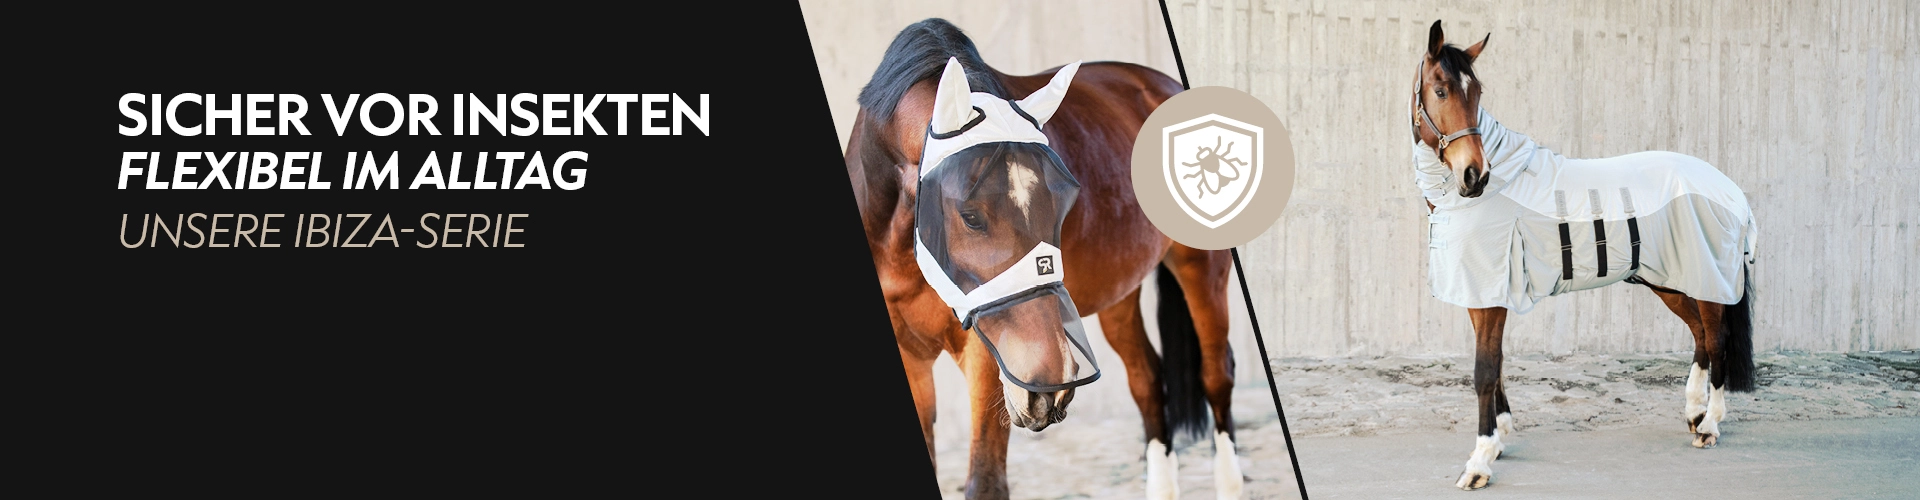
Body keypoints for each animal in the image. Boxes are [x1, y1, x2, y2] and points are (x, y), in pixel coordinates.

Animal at [843, 18, 1245, 500]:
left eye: (1062, 202)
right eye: (970, 215)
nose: (1051, 381)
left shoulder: (988, 358)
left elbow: (985, 480)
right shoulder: (911, 357)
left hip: (1201, 268)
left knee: (1216, 374)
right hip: (1118, 294)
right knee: (1148, 381)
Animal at [1408, 20, 1759, 490]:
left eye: (1477, 92)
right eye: (1441, 90)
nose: (1474, 175)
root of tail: (1729, 188)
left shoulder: (1490, 298)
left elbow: (1484, 370)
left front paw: (1479, 462)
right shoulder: (1480, 294)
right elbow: (1495, 366)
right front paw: (1499, 438)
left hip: (1706, 278)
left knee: (1716, 339)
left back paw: (1710, 425)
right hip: (1671, 279)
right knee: (1701, 336)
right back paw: (1694, 413)